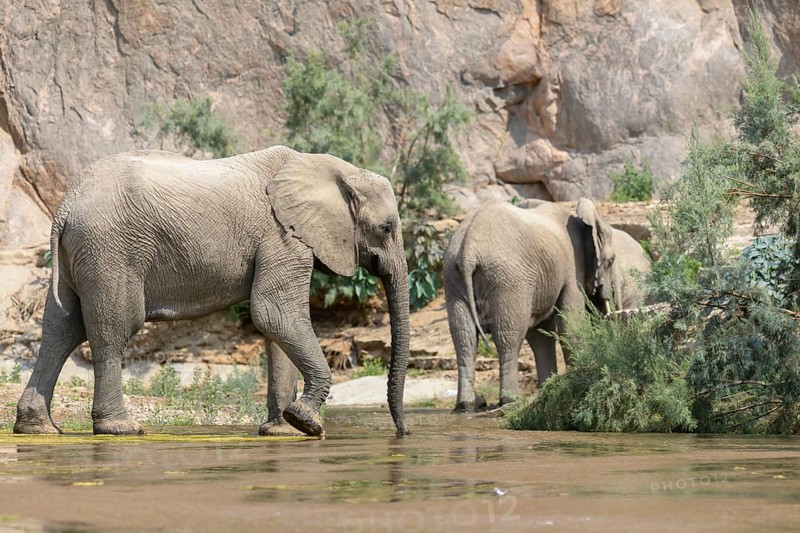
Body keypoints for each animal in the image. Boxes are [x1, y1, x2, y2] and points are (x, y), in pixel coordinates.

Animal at [14, 145, 411, 437]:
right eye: (386, 227)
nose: (402, 433)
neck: (328, 167)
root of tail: (67, 204)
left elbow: (276, 324)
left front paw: (281, 432)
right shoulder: (282, 236)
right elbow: (275, 313)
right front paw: (306, 422)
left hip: (80, 252)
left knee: (61, 327)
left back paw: (38, 429)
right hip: (110, 250)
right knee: (112, 330)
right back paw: (121, 429)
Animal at [444, 198, 650, 412]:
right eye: (611, 261)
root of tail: (468, 251)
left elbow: (540, 336)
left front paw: (547, 388)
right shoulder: (572, 268)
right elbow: (570, 326)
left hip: (453, 277)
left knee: (464, 340)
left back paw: (468, 405)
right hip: (507, 280)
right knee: (508, 337)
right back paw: (511, 401)